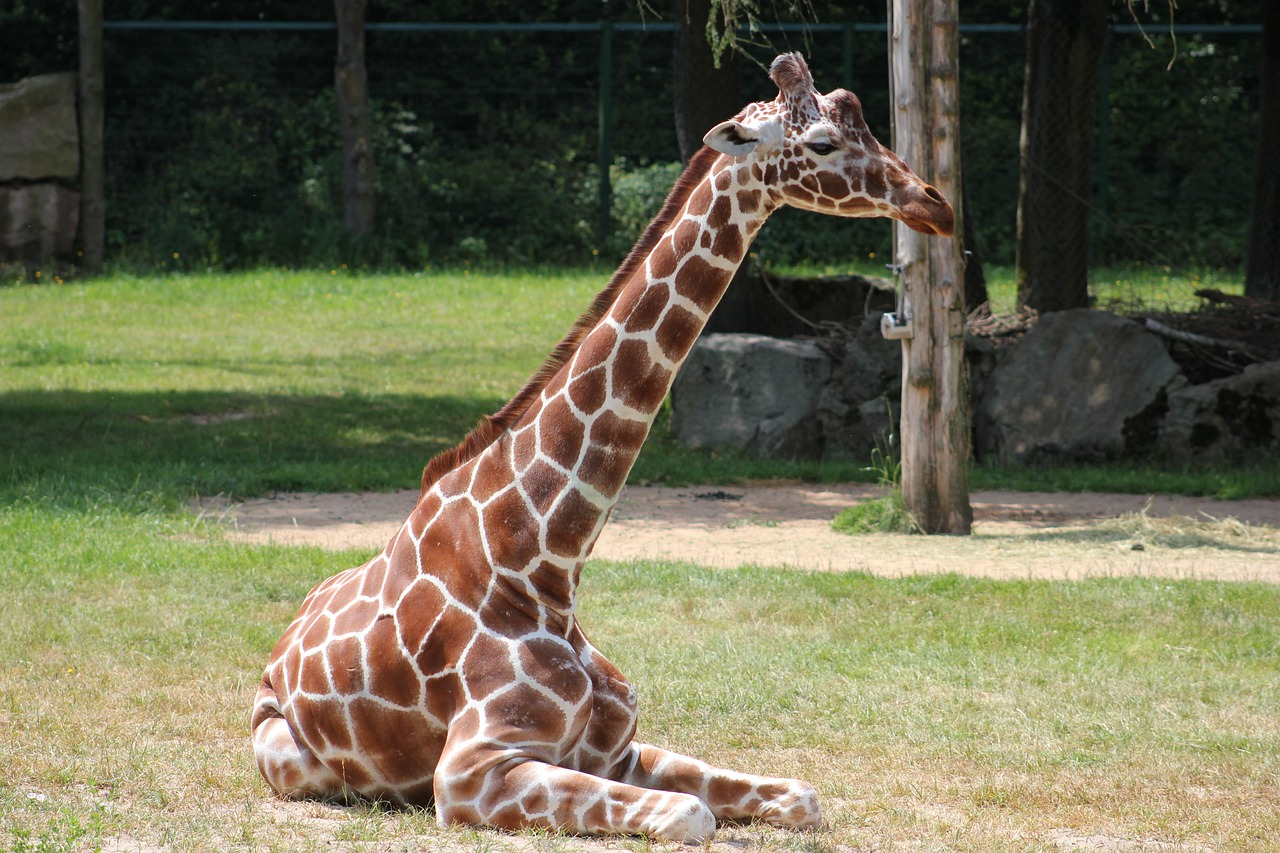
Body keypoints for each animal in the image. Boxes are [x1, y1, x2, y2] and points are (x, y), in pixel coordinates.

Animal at [249, 54, 952, 845]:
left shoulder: (617, 749)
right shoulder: (469, 774)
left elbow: (801, 794)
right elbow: (691, 814)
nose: (934, 205)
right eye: (825, 142)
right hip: (290, 758)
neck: (542, 564)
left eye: (863, 116)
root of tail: (278, 646)